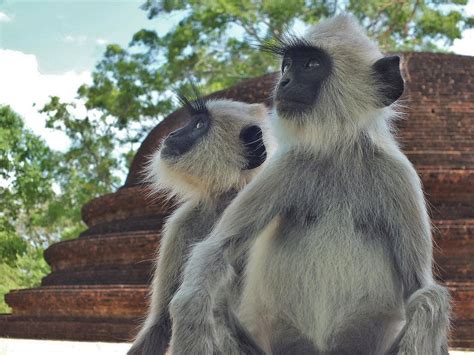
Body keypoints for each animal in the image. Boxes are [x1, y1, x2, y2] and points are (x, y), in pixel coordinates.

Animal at [128, 86, 270, 355]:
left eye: (199, 125)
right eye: (192, 122)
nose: (172, 133)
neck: (223, 203)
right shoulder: (182, 223)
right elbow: (161, 323)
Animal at [168, 13, 450, 355]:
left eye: (312, 65)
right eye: (287, 65)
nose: (284, 82)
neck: (337, 152)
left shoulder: (398, 176)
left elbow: (418, 286)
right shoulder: (286, 165)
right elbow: (214, 252)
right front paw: (189, 308)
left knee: (429, 301)